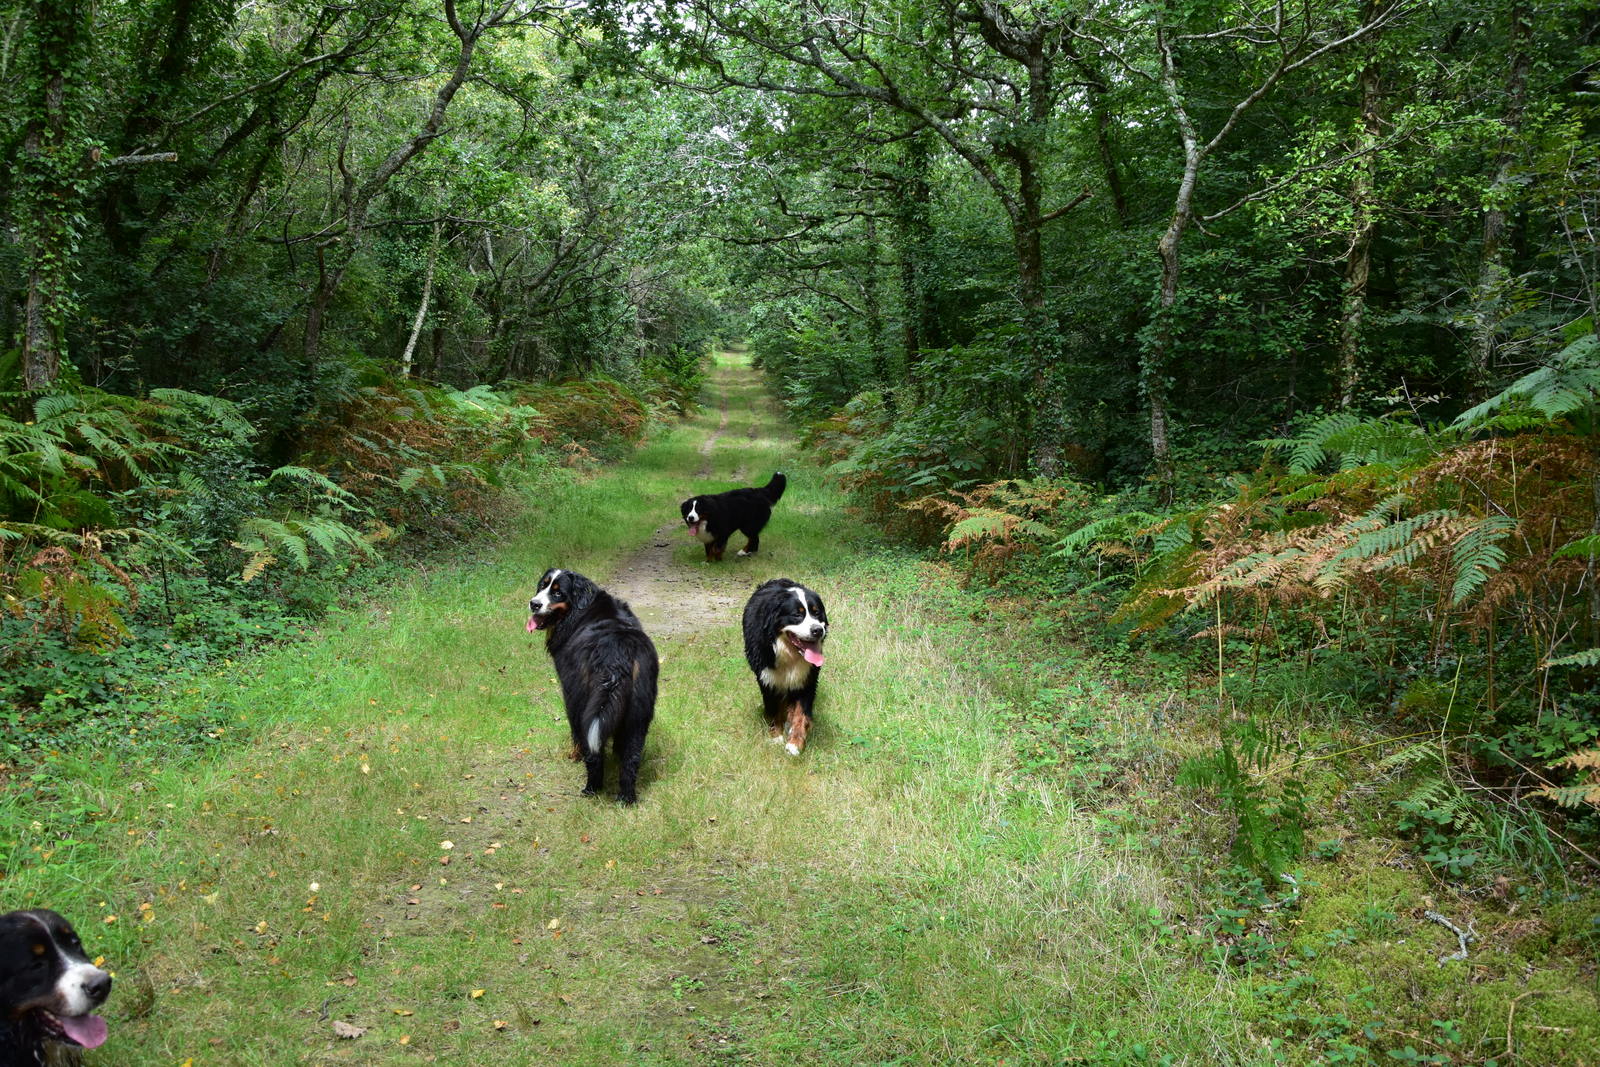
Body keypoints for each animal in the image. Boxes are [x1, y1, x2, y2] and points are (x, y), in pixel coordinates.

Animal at [528, 572, 659, 806]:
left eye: (558, 593)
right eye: (542, 586)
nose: (534, 604)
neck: (580, 610)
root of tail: (618, 657)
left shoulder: (570, 693)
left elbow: (576, 735)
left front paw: (574, 756)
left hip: (585, 701)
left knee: (593, 752)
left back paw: (591, 789)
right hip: (639, 712)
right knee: (631, 757)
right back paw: (626, 798)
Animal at [742, 575, 832, 758]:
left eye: (816, 612)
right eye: (797, 615)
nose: (818, 630)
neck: (789, 654)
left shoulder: (806, 680)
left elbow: (801, 713)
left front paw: (794, 743)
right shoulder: (768, 679)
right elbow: (774, 708)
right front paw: (776, 736)